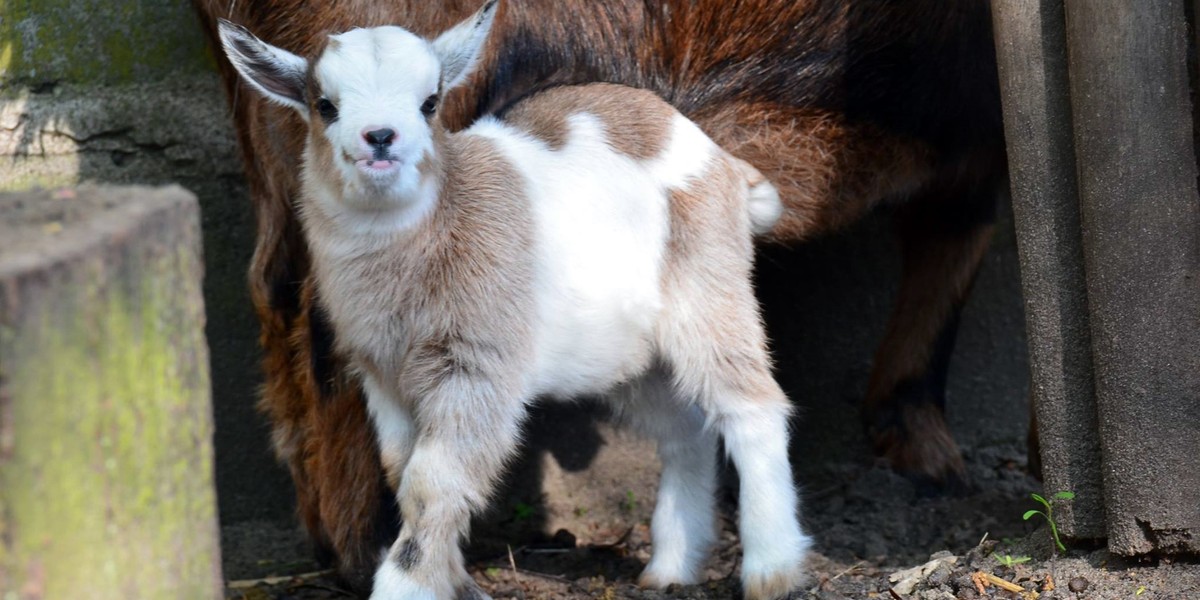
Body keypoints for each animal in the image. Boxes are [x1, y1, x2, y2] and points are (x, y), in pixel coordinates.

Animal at [192, 0, 1008, 592]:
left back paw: (772, 570)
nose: (380, 139)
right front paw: (448, 578)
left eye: (431, 102)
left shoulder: (478, 366)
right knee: (686, 430)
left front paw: (409, 584)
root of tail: (723, 165)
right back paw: (670, 569)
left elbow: (433, 480)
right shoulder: (384, 376)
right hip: (627, 356)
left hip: (709, 298)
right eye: (323, 104)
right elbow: (407, 471)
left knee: (751, 407)